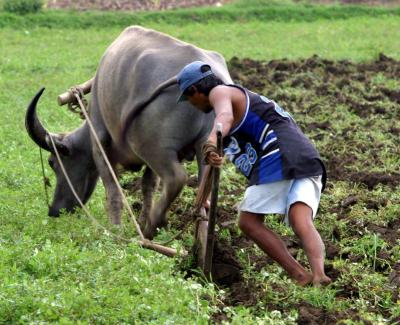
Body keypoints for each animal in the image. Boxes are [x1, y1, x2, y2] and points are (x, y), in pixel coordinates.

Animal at [25, 26, 231, 238]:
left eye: (52, 162)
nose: (54, 211)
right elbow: (148, 185)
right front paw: (141, 220)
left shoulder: (100, 144)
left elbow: (113, 188)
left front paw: (116, 229)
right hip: (205, 147)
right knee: (203, 186)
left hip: (151, 148)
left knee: (177, 178)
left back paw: (153, 225)